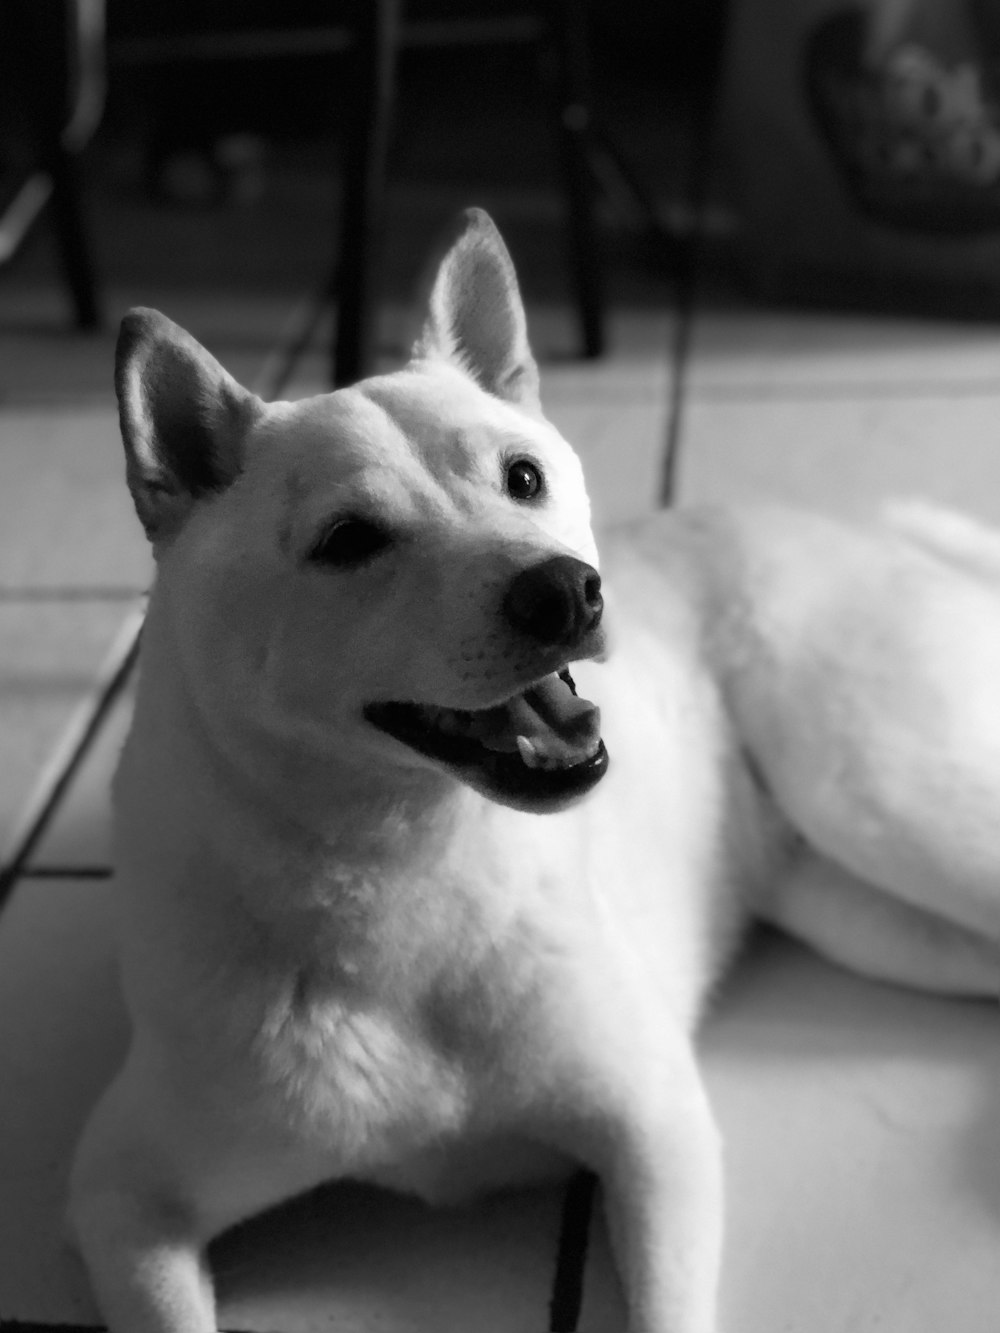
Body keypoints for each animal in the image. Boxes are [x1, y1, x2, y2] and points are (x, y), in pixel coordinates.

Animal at [68, 210, 1000, 1333]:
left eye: (523, 477)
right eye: (348, 540)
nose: (568, 592)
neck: (406, 874)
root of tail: (874, 530)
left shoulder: (653, 1127)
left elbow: (665, 1306)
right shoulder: (124, 1199)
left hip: (882, 800)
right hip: (867, 911)